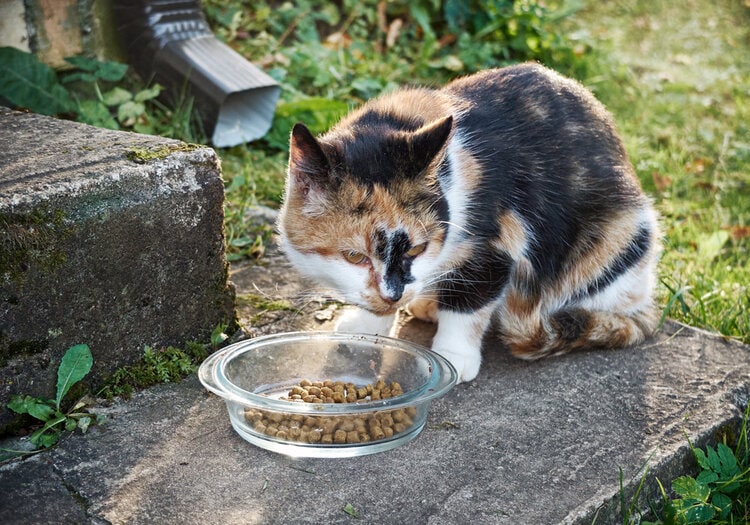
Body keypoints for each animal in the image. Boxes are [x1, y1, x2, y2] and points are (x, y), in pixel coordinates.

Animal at [278, 62, 664, 380]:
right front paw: (365, 327)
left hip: (618, 242)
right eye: (355, 257)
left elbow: (469, 304)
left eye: (417, 249)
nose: (394, 294)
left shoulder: (499, 242)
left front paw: (453, 357)